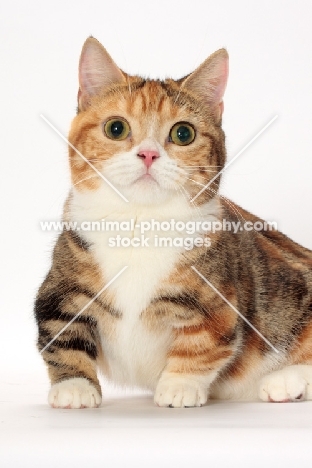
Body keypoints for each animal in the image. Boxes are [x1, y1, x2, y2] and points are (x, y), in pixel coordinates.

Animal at [35, 36, 312, 408]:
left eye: (183, 133)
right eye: (116, 128)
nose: (149, 154)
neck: (140, 224)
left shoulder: (218, 301)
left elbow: (204, 343)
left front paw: (180, 386)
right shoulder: (60, 289)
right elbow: (62, 335)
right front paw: (74, 386)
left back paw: (286, 381)